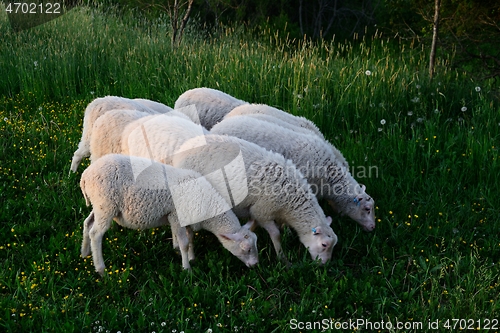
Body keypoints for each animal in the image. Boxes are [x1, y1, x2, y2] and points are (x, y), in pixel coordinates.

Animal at [80, 152, 260, 272]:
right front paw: (187, 268)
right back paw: (100, 268)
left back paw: (84, 253)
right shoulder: (176, 217)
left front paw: (191, 257)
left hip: (99, 206)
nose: (256, 265)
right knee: (96, 234)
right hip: (106, 206)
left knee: (87, 224)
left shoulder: (184, 219)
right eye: (247, 249)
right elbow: (184, 243)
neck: (208, 205)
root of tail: (86, 175)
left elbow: (189, 238)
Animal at [170, 134, 338, 264]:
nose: (324, 265)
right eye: (324, 244)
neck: (291, 201)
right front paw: (283, 259)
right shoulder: (262, 211)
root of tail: (184, 147)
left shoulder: (260, 213)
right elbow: (276, 235)